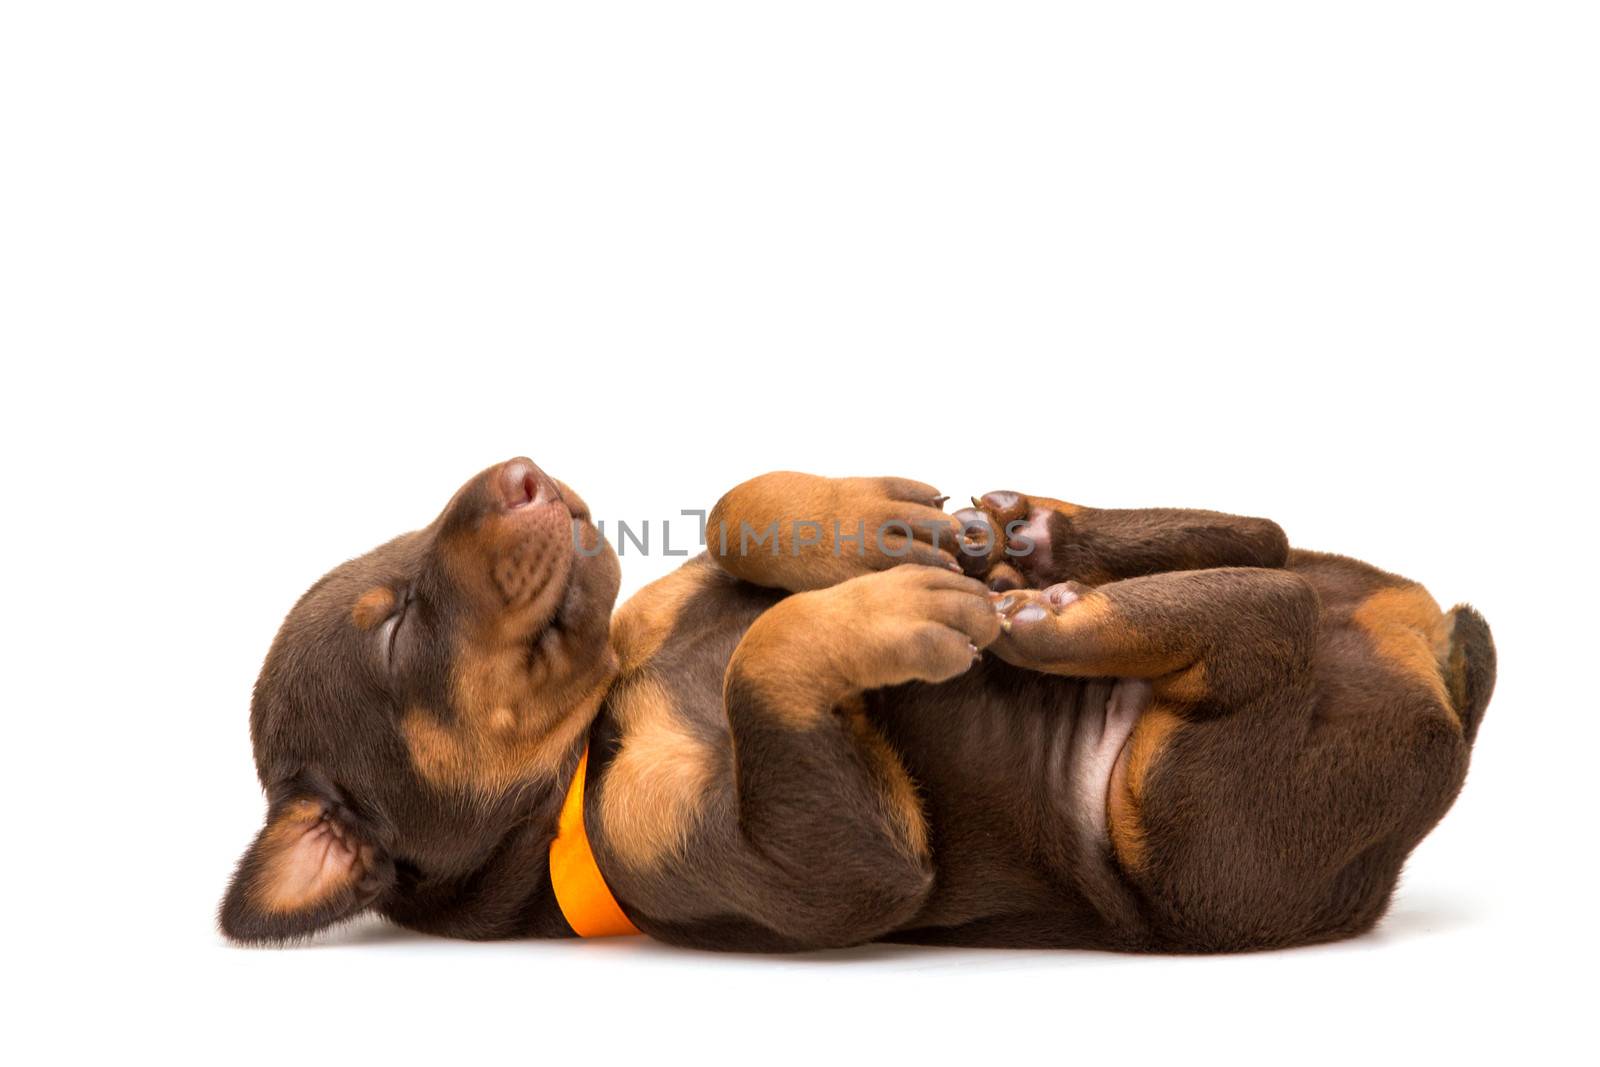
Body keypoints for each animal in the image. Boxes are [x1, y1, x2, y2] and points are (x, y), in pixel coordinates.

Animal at [219, 460, 1491, 953]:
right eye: (397, 623)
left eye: (411, 543)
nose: (518, 471)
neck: (599, 722)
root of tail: (1444, 667)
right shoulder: (838, 878)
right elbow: (761, 658)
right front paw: (889, 602)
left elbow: (740, 512)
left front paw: (856, 524)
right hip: (1189, 834)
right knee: (1269, 611)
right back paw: (1054, 608)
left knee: (1267, 543)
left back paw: (1037, 536)